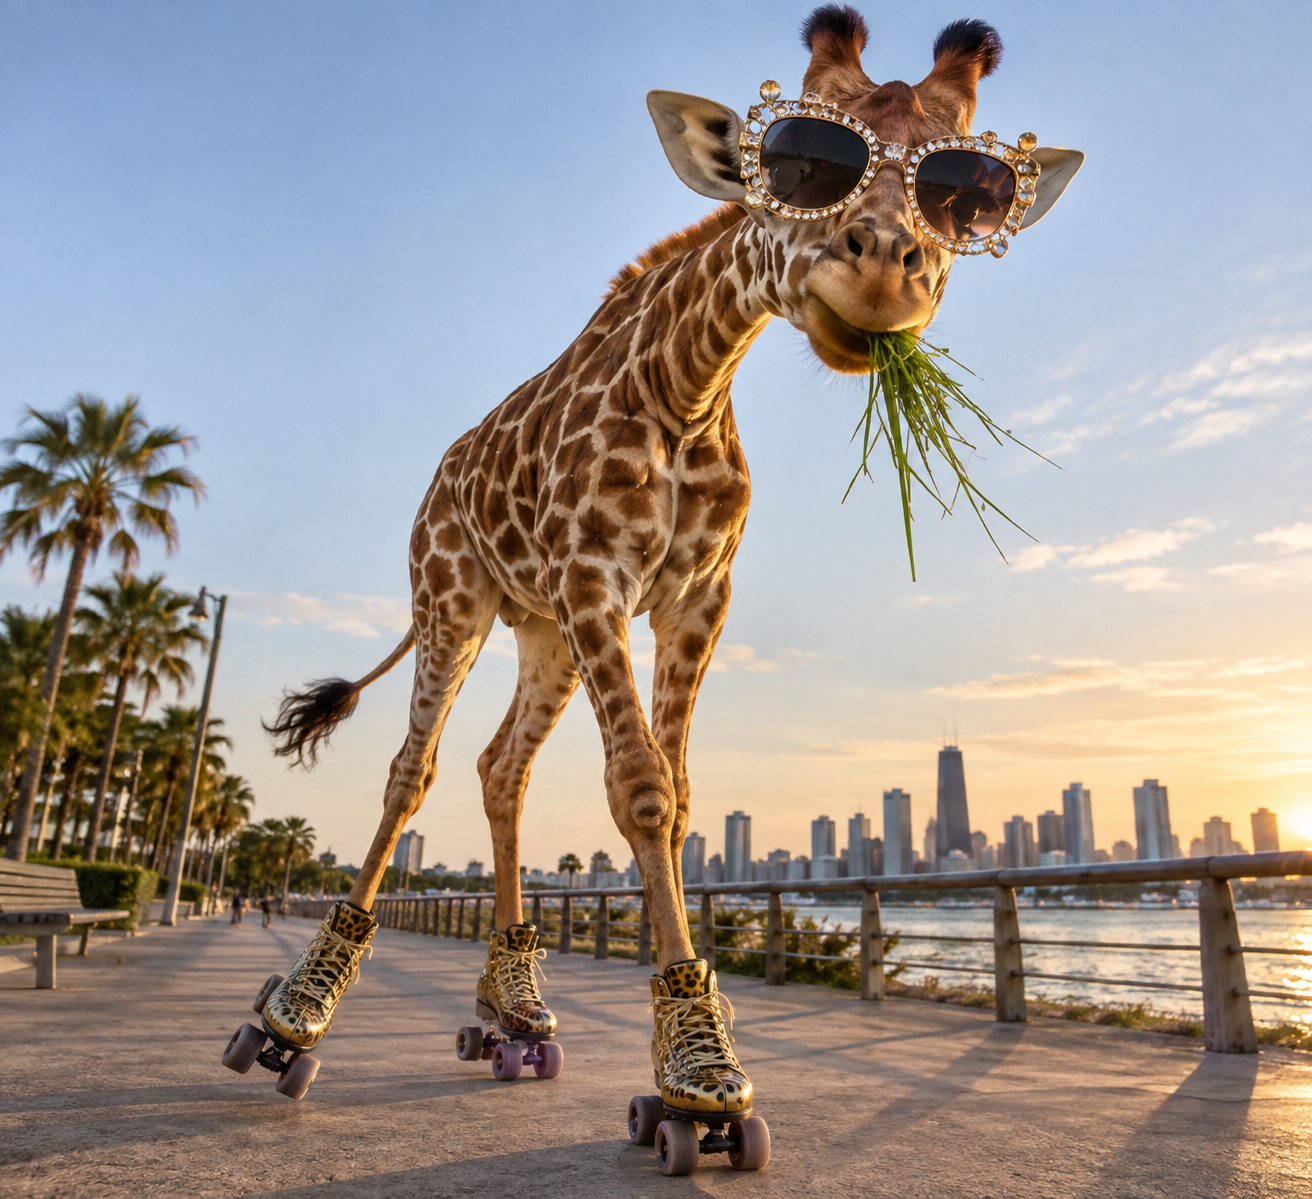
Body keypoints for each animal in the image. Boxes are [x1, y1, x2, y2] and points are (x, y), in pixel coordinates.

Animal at [230, 3, 1081, 1146]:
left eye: (963, 191)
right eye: (801, 161)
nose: (884, 276)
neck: (684, 388)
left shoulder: (693, 596)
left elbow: (675, 799)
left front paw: (701, 1058)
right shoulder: (598, 574)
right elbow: (635, 789)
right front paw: (696, 1081)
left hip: (539, 630)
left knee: (499, 766)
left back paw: (510, 1013)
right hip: (454, 597)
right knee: (413, 769)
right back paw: (295, 1015)